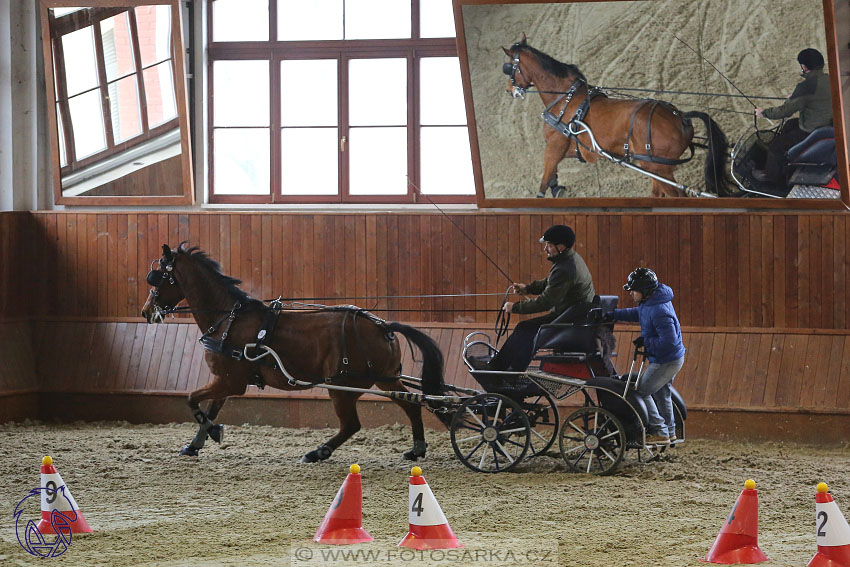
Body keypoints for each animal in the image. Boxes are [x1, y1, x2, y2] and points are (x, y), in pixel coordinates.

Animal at [139, 243, 444, 462]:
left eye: (158, 278)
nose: (146, 311)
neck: (229, 318)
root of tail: (383, 326)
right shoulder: (225, 380)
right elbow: (210, 408)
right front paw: (195, 443)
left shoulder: (230, 382)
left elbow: (192, 400)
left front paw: (213, 432)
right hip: (384, 378)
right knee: (411, 404)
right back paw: (416, 449)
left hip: (341, 386)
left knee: (352, 424)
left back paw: (318, 452)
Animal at [504, 35, 728, 199]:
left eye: (507, 68)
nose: (509, 91)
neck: (565, 99)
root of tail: (680, 116)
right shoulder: (569, 149)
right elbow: (551, 176)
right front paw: (557, 188)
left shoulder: (554, 147)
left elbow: (544, 179)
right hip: (653, 167)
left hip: (658, 169)